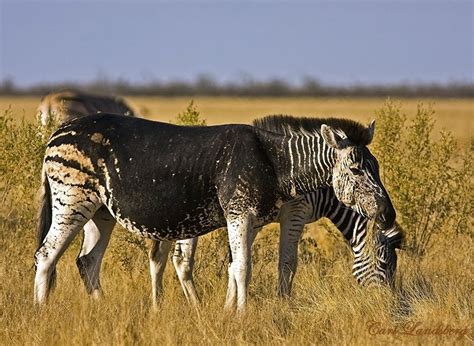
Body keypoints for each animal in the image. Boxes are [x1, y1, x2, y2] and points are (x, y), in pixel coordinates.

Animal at [34, 113, 396, 310]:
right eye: (356, 169)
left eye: (377, 167)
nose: (388, 215)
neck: (276, 161)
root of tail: (57, 132)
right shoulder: (242, 213)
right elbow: (245, 268)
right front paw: (243, 316)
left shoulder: (249, 218)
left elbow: (237, 266)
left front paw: (234, 311)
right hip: (72, 199)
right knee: (46, 256)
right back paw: (42, 314)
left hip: (100, 212)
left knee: (87, 262)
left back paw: (102, 307)